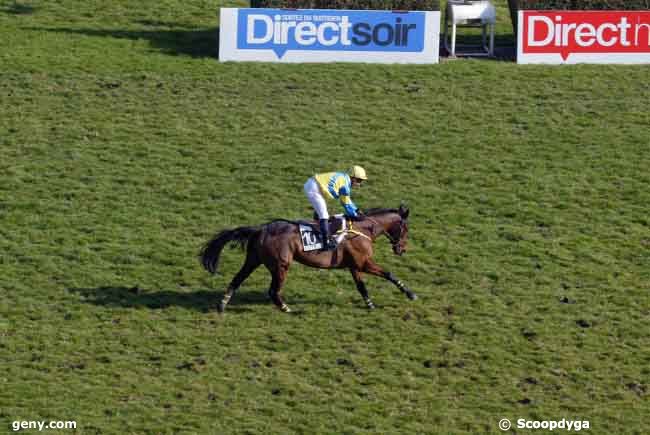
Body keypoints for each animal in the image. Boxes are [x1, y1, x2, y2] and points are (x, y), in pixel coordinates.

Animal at [197, 205, 416, 314]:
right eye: (405, 228)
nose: (402, 249)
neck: (362, 229)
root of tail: (260, 229)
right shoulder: (363, 263)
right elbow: (389, 273)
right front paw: (410, 293)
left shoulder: (354, 265)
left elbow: (361, 286)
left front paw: (369, 304)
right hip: (281, 265)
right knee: (273, 291)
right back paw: (287, 309)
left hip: (253, 260)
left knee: (237, 279)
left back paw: (222, 305)